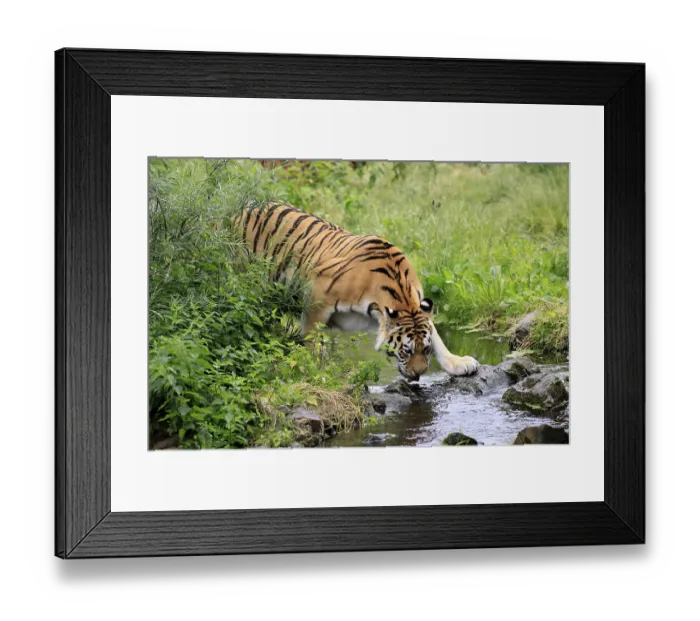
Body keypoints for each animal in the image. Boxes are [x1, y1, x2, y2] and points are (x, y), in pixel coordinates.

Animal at [232, 201, 479, 382]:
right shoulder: (315, 301)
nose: (418, 376)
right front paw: (317, 374)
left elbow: (438, 338)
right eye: (407, 351)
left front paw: (459, 363)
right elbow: (312, 342)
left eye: (425, 350)